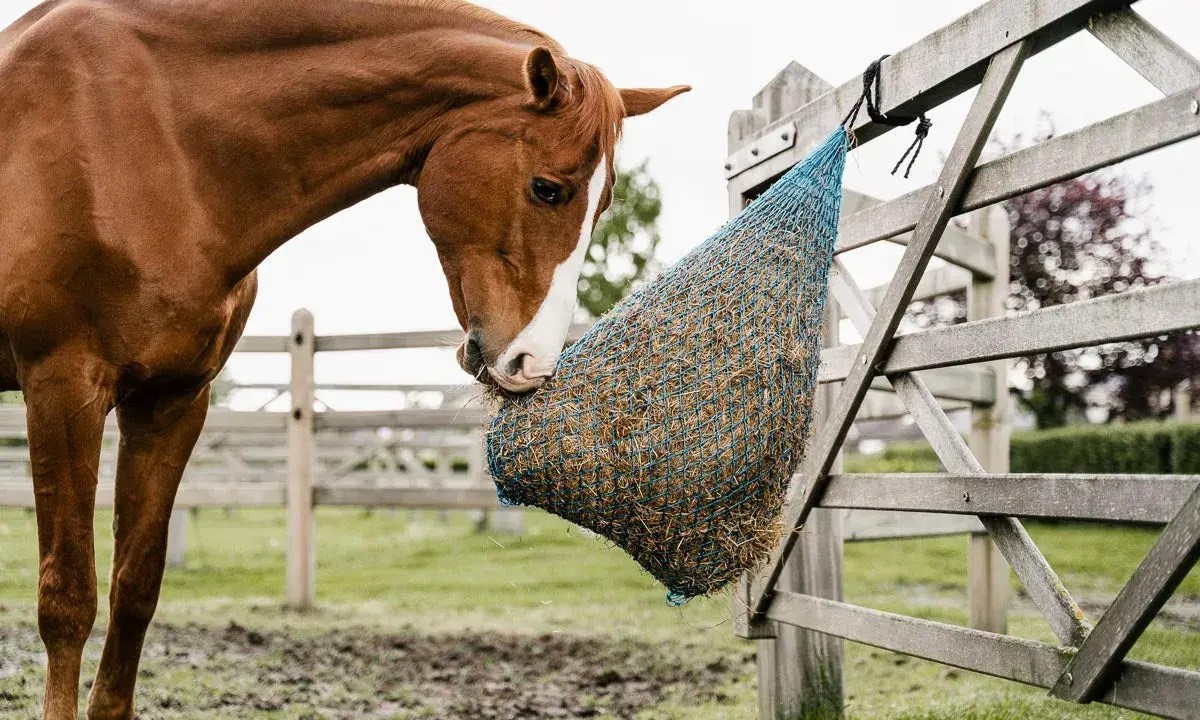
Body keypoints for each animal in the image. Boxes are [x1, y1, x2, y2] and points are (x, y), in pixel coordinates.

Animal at [0, 1, 688, 717]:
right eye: (547, 189)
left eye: (603, 203)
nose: (532, 363)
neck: (153, 139)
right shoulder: (62, 388)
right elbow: (67, 602)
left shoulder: (173, 402)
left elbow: (135, 590)